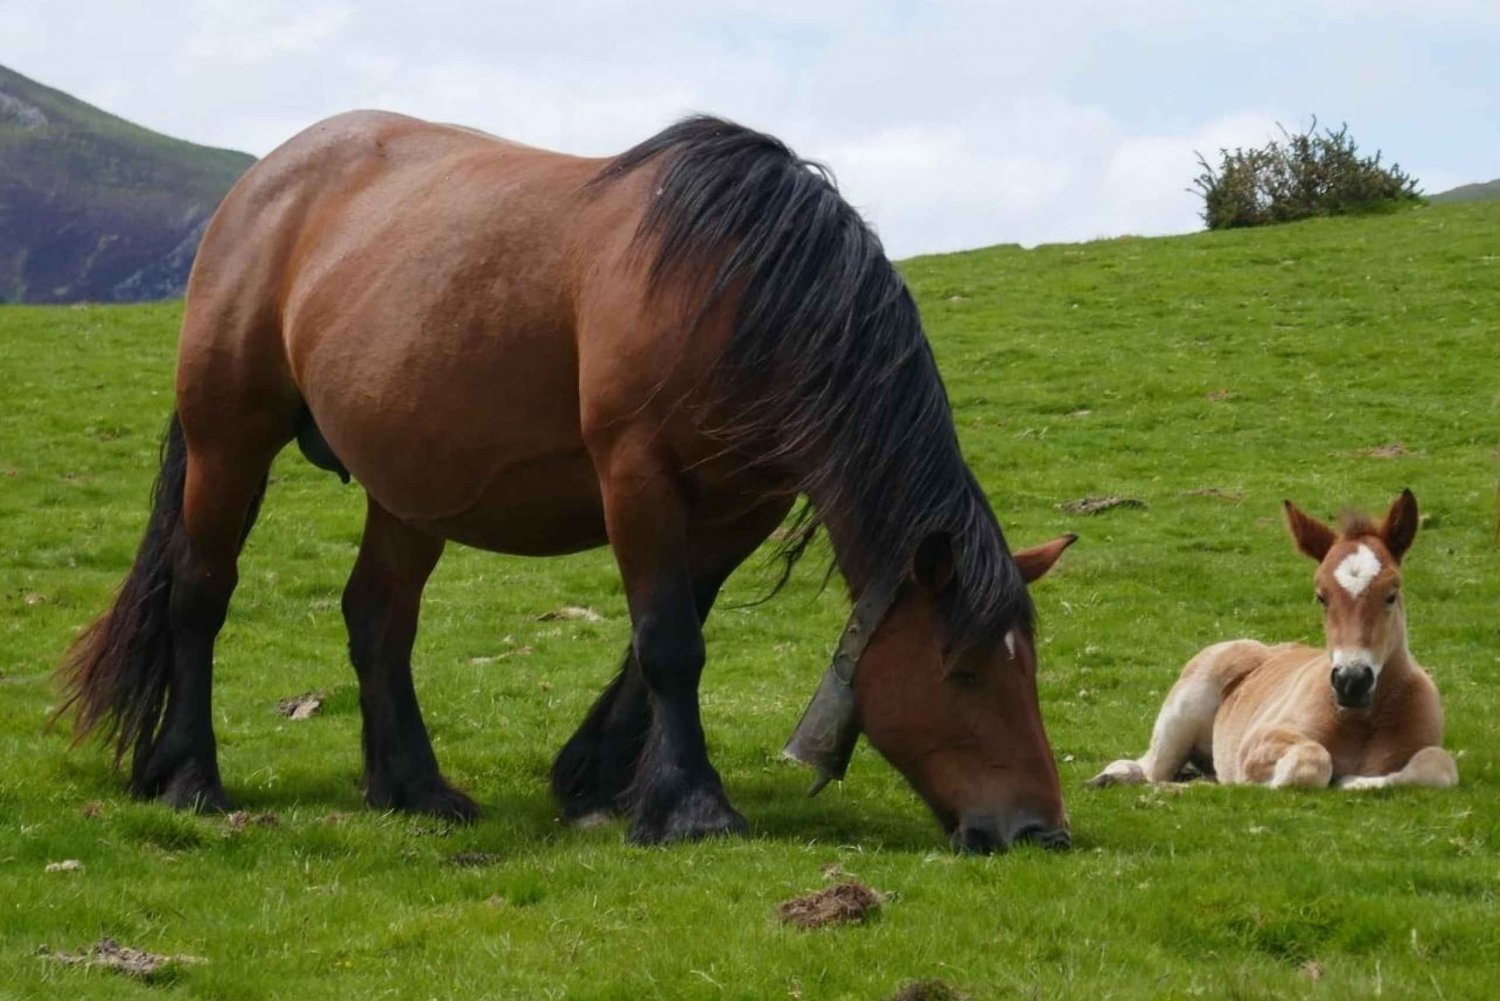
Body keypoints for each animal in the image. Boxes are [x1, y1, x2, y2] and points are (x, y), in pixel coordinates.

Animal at [55, 115, 1068, 852]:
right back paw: (189, 777)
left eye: (1029, 666)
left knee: (378, 618)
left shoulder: (742, 506)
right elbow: (670, 643)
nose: (1037, 830)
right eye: (964, 669)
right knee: (199, 593)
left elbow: (668, 637)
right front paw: (692, 808)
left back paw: (413, 788)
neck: (739, 288)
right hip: (229, 440)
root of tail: (263, 183)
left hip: (410, 487)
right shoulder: (636, 475)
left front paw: (597, 778)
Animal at [1092, 492, 1452, 792]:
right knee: (1149, 769)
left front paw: (1354, 780)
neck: (1362, 721)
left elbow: (1438, 766)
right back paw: (1114, 777)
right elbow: (1310, 761)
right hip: (1182, 713)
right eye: (1321, 597)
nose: (1351, 681)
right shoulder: (1259, 741)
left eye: (1391, 594)